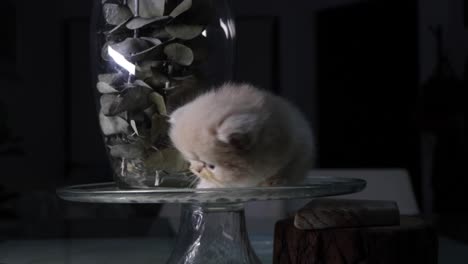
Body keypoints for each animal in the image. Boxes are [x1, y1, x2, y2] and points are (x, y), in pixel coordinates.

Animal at [168, 82, 314, 188]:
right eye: (191, 159)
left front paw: (275, 181)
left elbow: (287, 169)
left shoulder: (295, 149)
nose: (198, 169)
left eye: (211, 166)